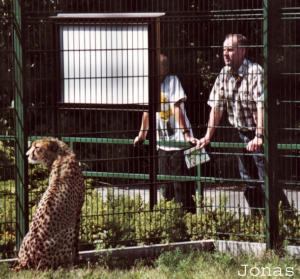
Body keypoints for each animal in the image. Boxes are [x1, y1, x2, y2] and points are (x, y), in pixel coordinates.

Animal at [15, 139, 85, 270]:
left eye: (37, 147)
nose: (27, 155)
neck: (61, 156)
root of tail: (25, 261)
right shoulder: (78, 210)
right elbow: (76, 241)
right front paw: (76, 259)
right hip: (68, 231)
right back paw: (68, 264)